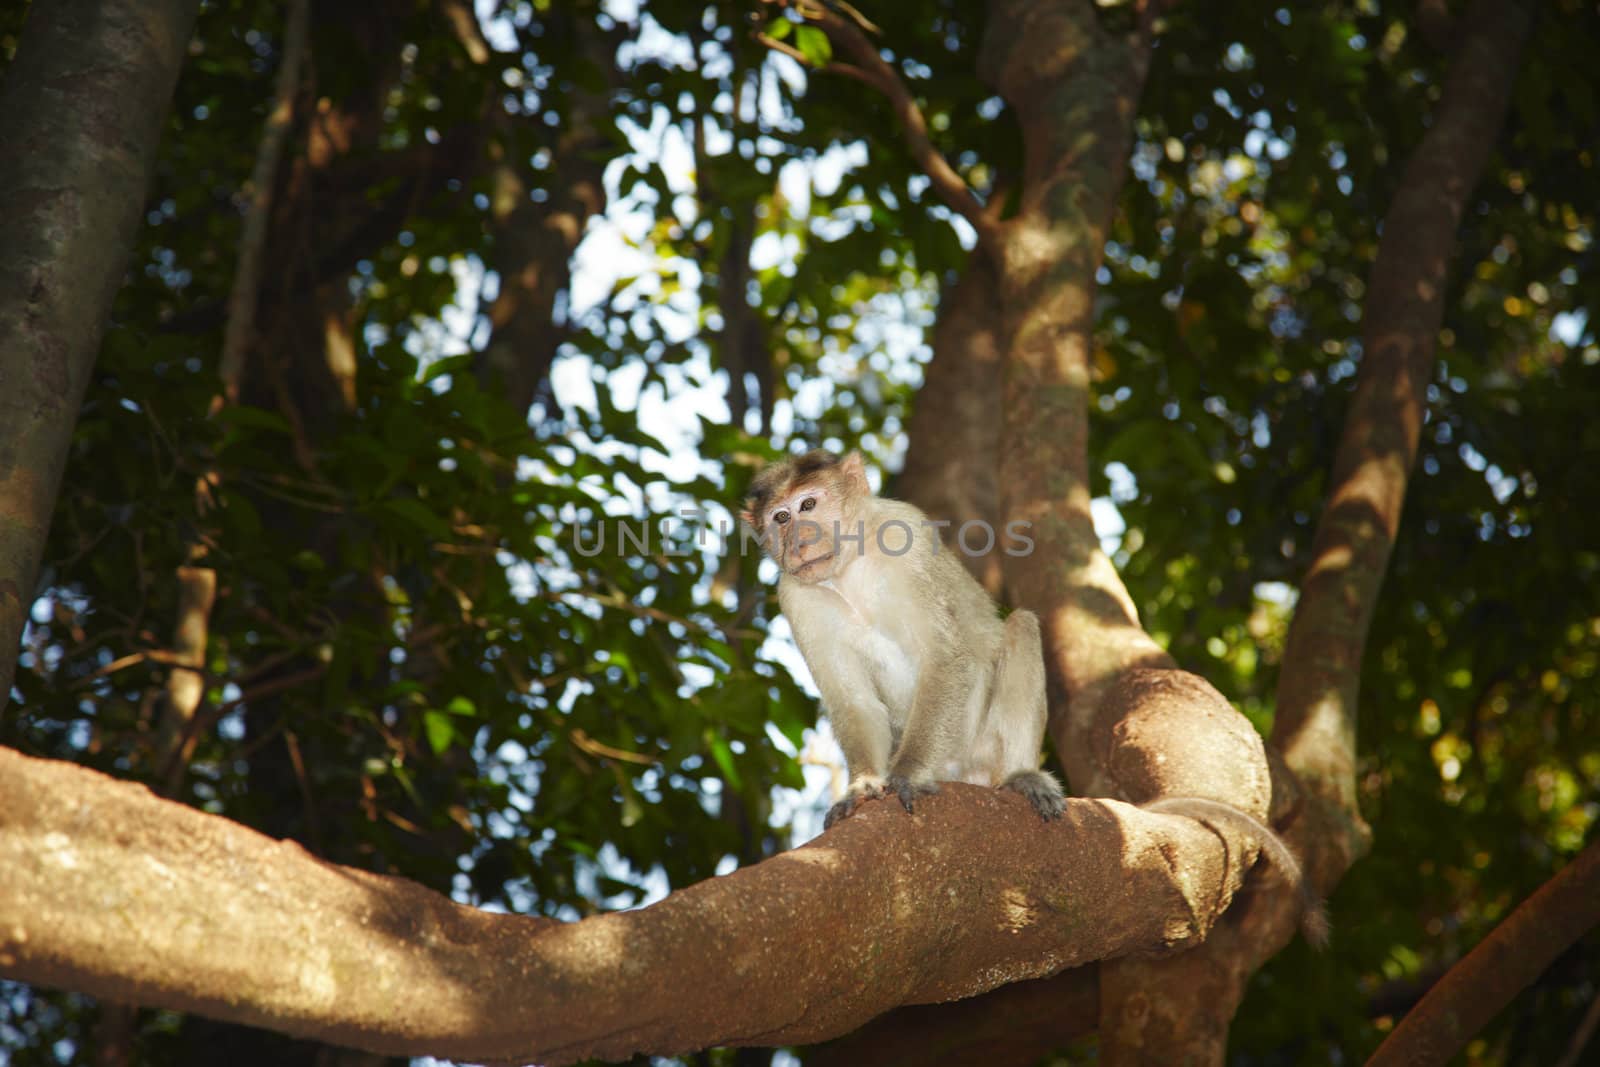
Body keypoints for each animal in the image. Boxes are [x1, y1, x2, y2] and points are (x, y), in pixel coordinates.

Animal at [736, 447, 1062, 825]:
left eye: (808, 505)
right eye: (781, 517)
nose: (798, 543)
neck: (848, 568)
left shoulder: (908, 538)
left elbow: (945, 658)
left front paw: (909, 772)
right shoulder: (794, 596)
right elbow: (853, 700)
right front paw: (862, 785)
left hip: (979, 745)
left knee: (1021, 626)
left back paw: (1021, 775)